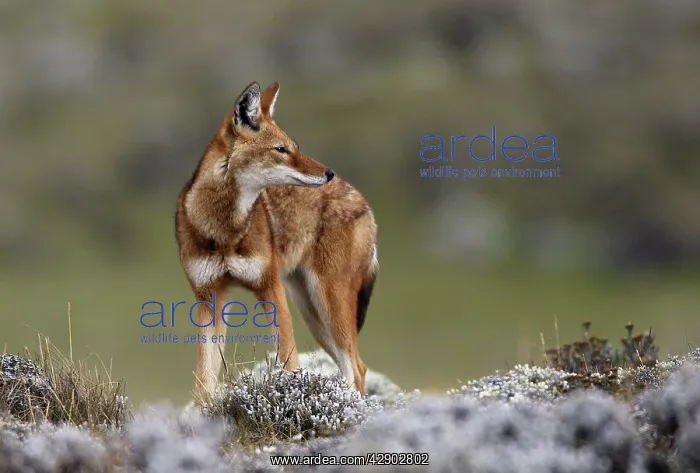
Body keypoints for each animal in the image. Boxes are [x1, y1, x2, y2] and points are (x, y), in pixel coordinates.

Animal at [175, 81, 378, 402]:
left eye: (295, 147)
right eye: (281, 150)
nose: (328, 173)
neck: (225, 230)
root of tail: (362, 200)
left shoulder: (270, 289)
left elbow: (289, 361)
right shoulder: (209, 299)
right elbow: (204, 383)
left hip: (328, 304)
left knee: (356, 368)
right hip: (313, 313)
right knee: (354, 366)